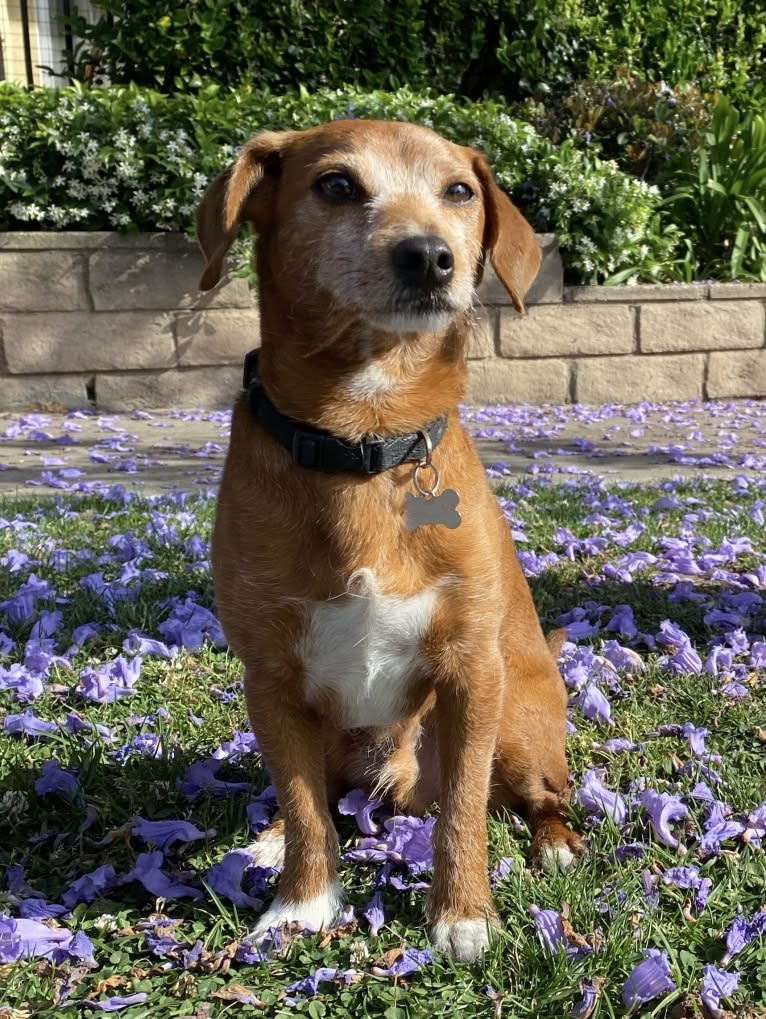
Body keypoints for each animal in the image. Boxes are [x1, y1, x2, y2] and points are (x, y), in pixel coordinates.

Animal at [195, 119, 578, 961]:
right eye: (336, 185)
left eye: (459, 191)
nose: (429, 255)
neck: (364, 434)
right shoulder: (271, 681)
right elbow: (306, 808)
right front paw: (301, 903)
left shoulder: (471, 675)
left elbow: (464, 811)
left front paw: (463, 914)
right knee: (315, 797)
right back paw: (271, 838)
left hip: (521, 727)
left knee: (532, 796)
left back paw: (555, 841)